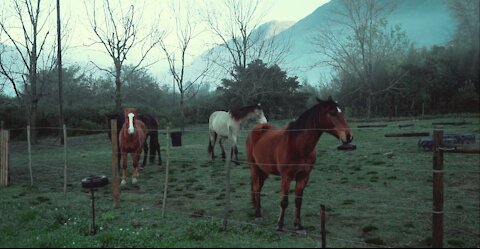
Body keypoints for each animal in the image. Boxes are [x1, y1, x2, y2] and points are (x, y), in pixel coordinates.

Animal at [248, 97, 352, 231]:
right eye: (333, 113)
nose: (348, 137)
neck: (298, 145)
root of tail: (257, 128)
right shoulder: (286, 177)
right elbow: (284, 201)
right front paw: (280, 225)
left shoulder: (304, 176)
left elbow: (298, 201)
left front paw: (298, 225)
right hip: (254, 167)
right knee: (256, 188)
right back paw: (258, 214)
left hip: (264, 170)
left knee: (258, 188)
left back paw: (258, 208)